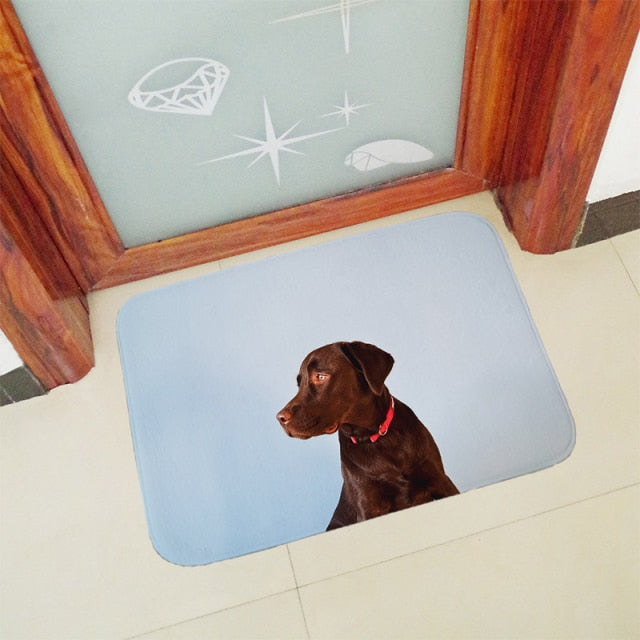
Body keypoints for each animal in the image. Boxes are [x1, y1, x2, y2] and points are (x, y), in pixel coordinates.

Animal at [277, 341, 459, 530]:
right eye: (300, 384)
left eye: (320, 376)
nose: (280, 418)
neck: (376, 436)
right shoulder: (368, 507)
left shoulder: (442, 482)